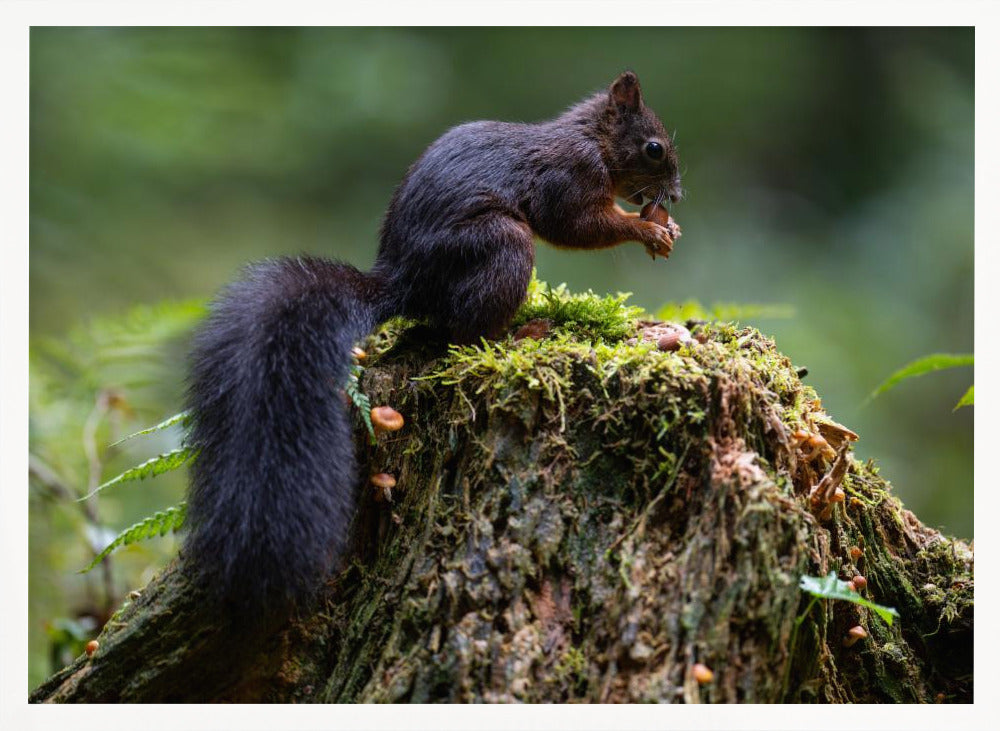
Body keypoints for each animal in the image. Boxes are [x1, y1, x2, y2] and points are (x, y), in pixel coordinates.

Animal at [183, 71, 683, 621]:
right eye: (654, 148)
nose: (677, 197)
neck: (593, 140)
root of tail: (402, 282)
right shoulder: (569, 177)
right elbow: (577, 225)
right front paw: (648, 228)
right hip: (501, 244)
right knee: (467, 332)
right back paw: (524, 332)